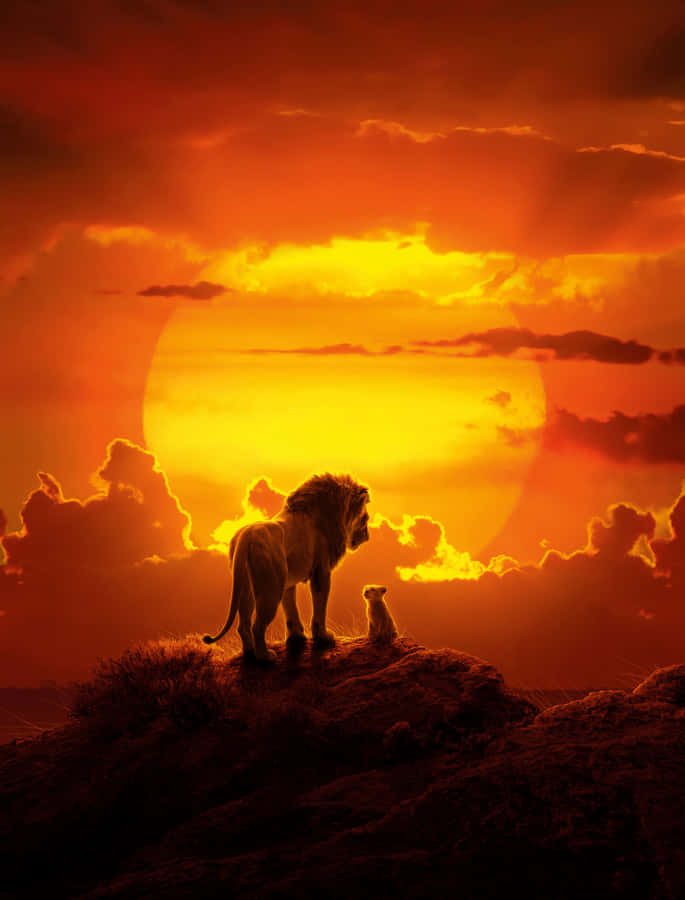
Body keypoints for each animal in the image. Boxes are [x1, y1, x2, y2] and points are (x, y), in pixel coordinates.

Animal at [203, 473, 370, 661]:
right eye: (365, 518)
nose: (367, 536)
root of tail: (246, 537)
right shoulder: (321, 572)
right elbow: (320, 606)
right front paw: (323, 637)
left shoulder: (288, 581)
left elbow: (290, 608)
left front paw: (297, 636)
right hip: (271, 588)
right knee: (257, 626)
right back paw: (265, 656)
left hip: (246, 585)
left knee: (243, 625)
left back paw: (249, 652)